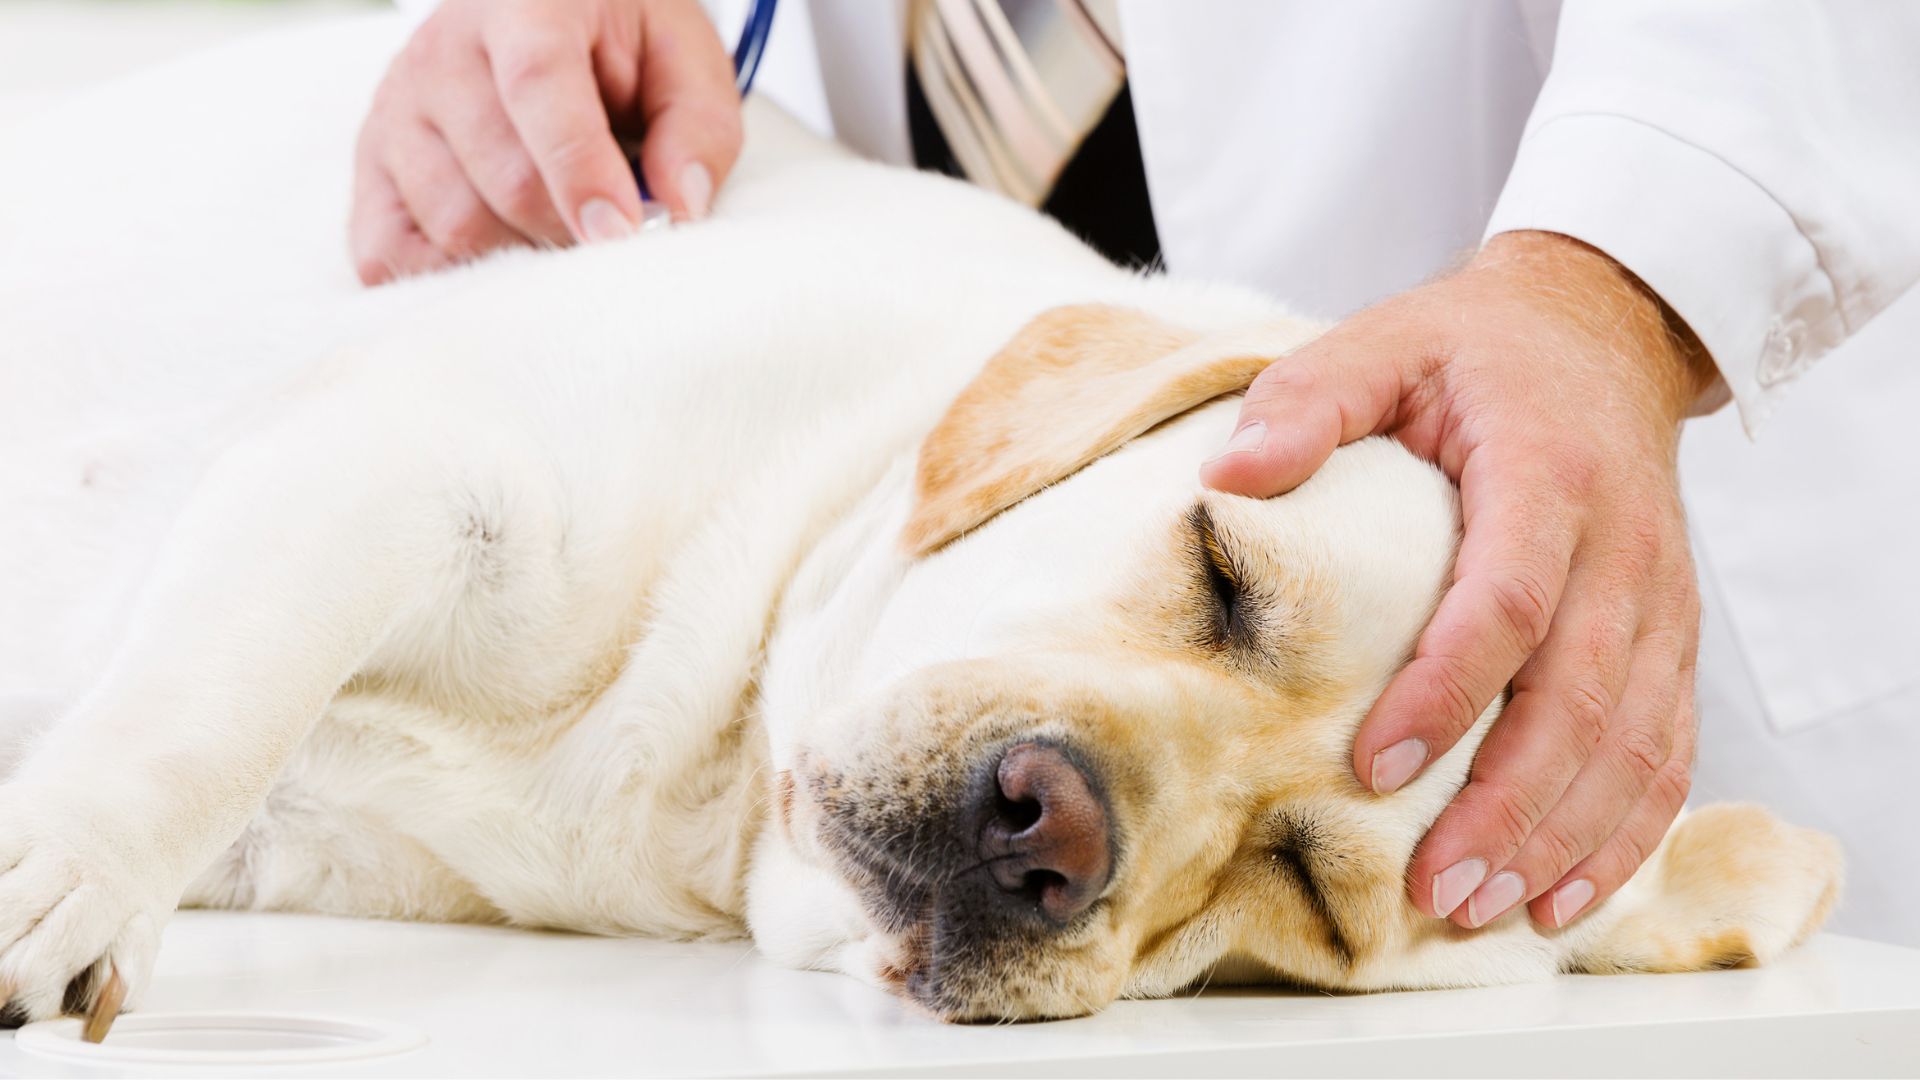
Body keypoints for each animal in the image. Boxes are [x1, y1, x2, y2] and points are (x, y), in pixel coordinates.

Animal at [0, 92, 1843, 1022]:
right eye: (1220, 573)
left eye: (1305, 896)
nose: (1051, 837)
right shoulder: (402, 459)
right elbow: (200, 710)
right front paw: (60, 881)